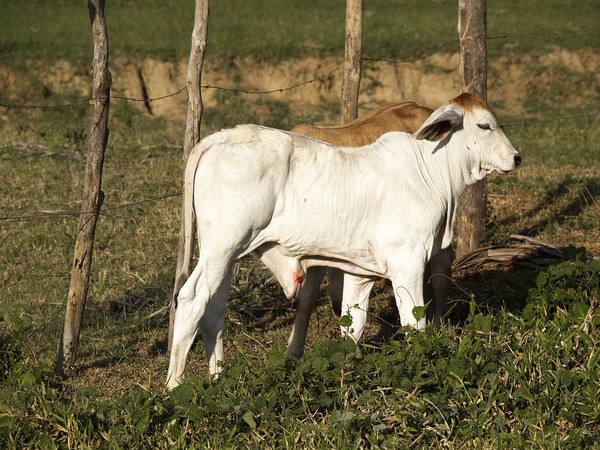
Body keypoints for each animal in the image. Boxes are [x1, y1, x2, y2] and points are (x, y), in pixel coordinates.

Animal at [168, 93, 520, 388]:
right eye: (484, 125)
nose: (516, 157)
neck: (429, 170)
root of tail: (218, 138)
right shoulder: (407, 264)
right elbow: (413, 323)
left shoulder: (359, 272)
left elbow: (353, 324)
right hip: (221, 248)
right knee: (191, 300)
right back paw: (175, 385)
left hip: (227, 256)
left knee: (214, 309)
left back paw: (218, 378)